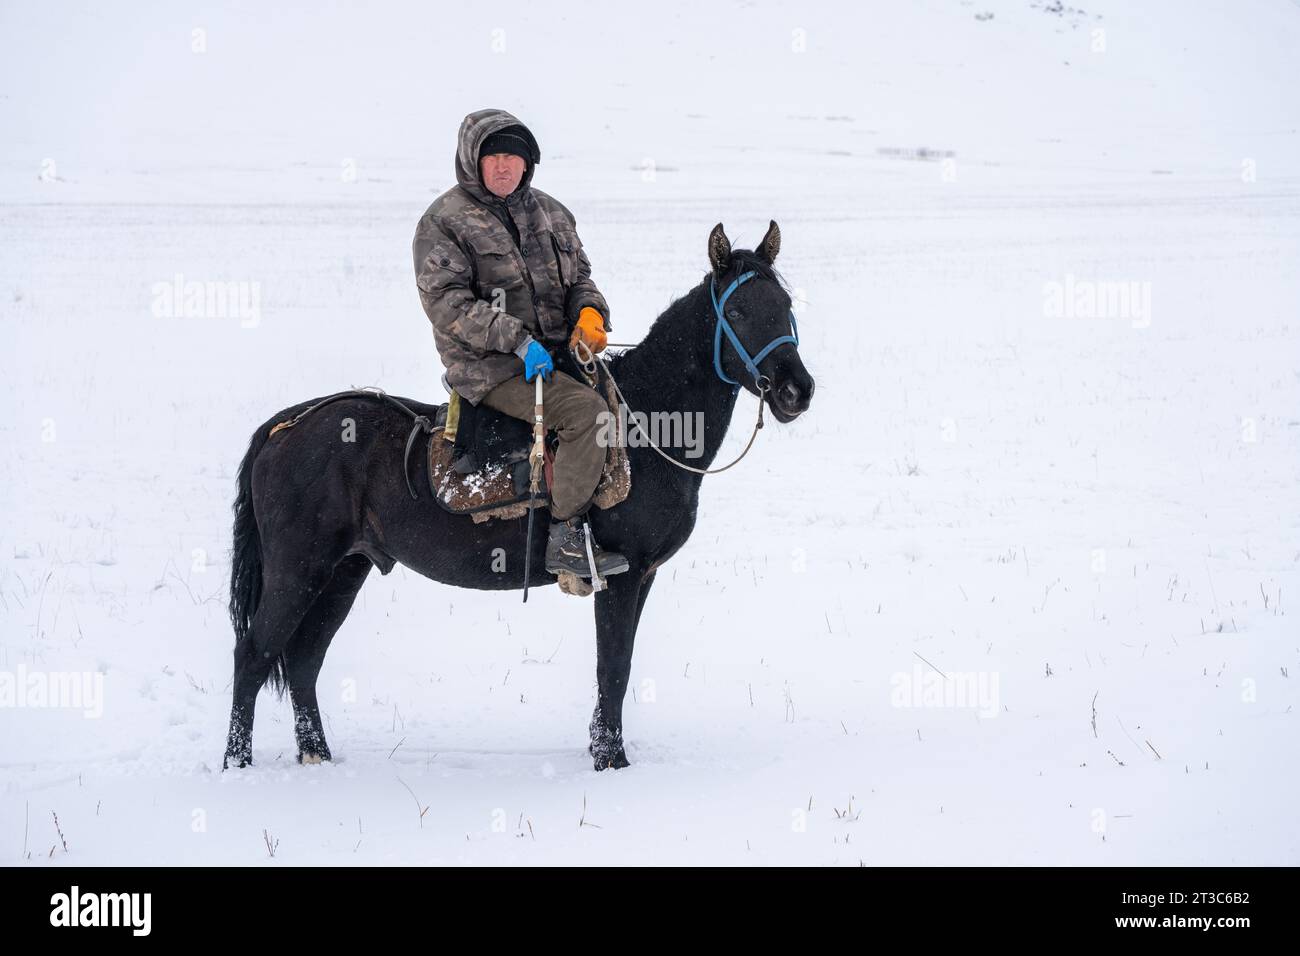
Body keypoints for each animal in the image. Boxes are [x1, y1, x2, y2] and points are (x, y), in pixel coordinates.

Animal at [223, 222, 811, 770]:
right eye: (736, 312)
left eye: (784, 307)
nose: (795, 391)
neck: (645, 424)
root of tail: (287, 425)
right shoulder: (621, 573)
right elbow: (613, 668)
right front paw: (611, 761)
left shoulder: (641, 575)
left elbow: (615, 670)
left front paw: (603, 750)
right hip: (298, 568)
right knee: (254, 655)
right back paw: (237, 765)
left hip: (346, 568)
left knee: (303, 659)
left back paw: (316, 755)